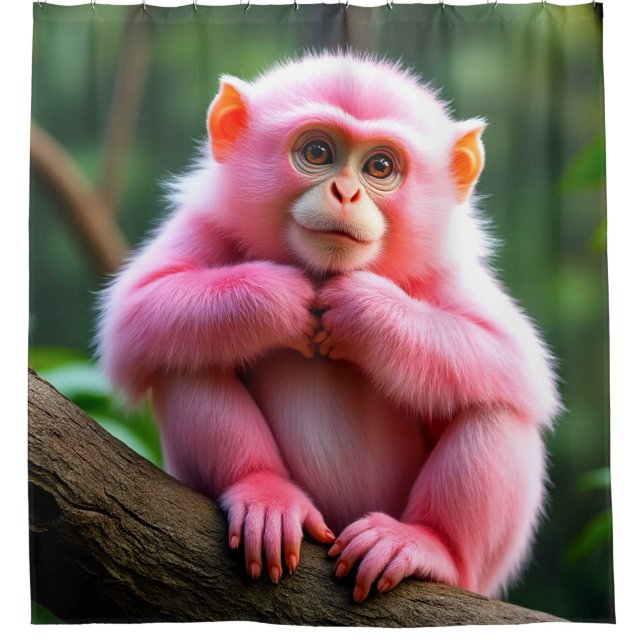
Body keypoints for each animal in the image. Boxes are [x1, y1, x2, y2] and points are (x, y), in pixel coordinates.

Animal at [97, 53, 560, 603]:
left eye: (380, 166)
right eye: (317, 151)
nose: (345, 192)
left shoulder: (444, 273)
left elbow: (517, 361)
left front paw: (361, 312)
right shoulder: (205, 228)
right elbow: (134, 314)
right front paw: (283, 301)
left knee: (496, 407)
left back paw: (427, 544)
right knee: (183, 358)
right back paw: (265, 492)